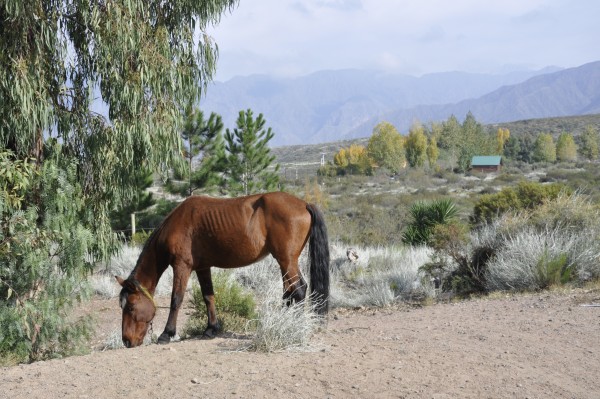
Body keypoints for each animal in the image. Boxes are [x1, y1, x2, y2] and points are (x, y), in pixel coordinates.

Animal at [115, 192, 330, 348]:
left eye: (130, 307)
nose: (126, 341)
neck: (177, 223)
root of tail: (304, 204)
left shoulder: (182, 266)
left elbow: (176, 299)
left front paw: (166, 334)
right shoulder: (203, 268)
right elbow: (208, 296)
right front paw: (211, 329)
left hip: (287, 260)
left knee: (299, 290)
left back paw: (294, 324)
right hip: (285, 262)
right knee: (290, 291)